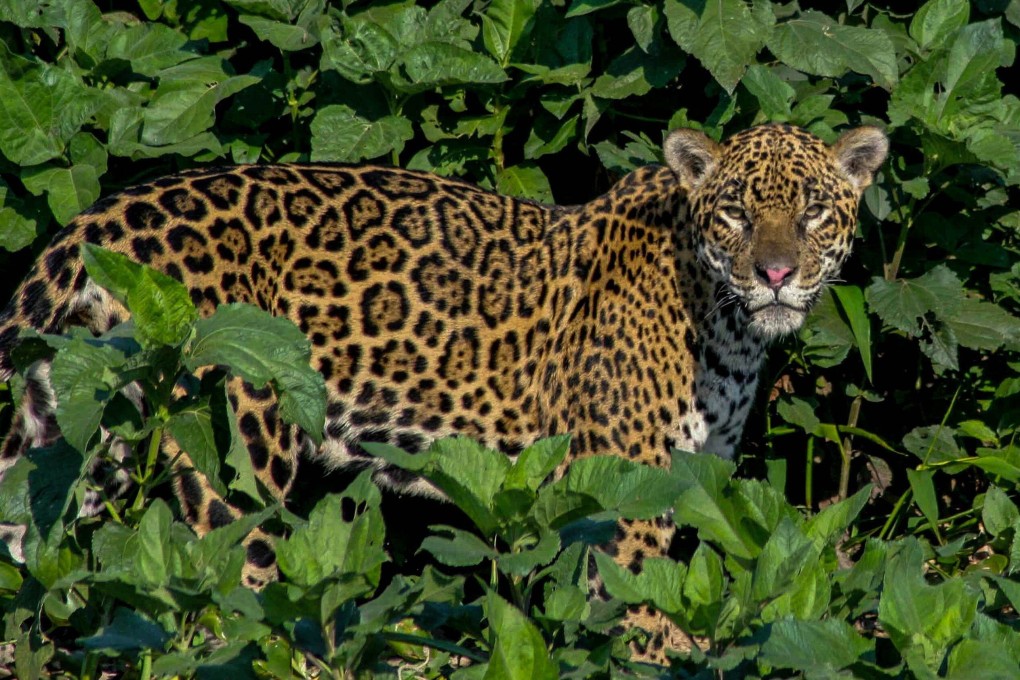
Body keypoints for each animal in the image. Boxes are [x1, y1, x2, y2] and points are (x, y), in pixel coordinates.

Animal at [0, 122, 887, 663]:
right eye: (734, 213)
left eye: (814, 211)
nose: (775, 274)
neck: (725, 324)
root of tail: (101, 217)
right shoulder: (628, 496)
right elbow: (642, 614)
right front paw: (673, 657)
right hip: (235, 455)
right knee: (232, 606)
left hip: (80, 432)